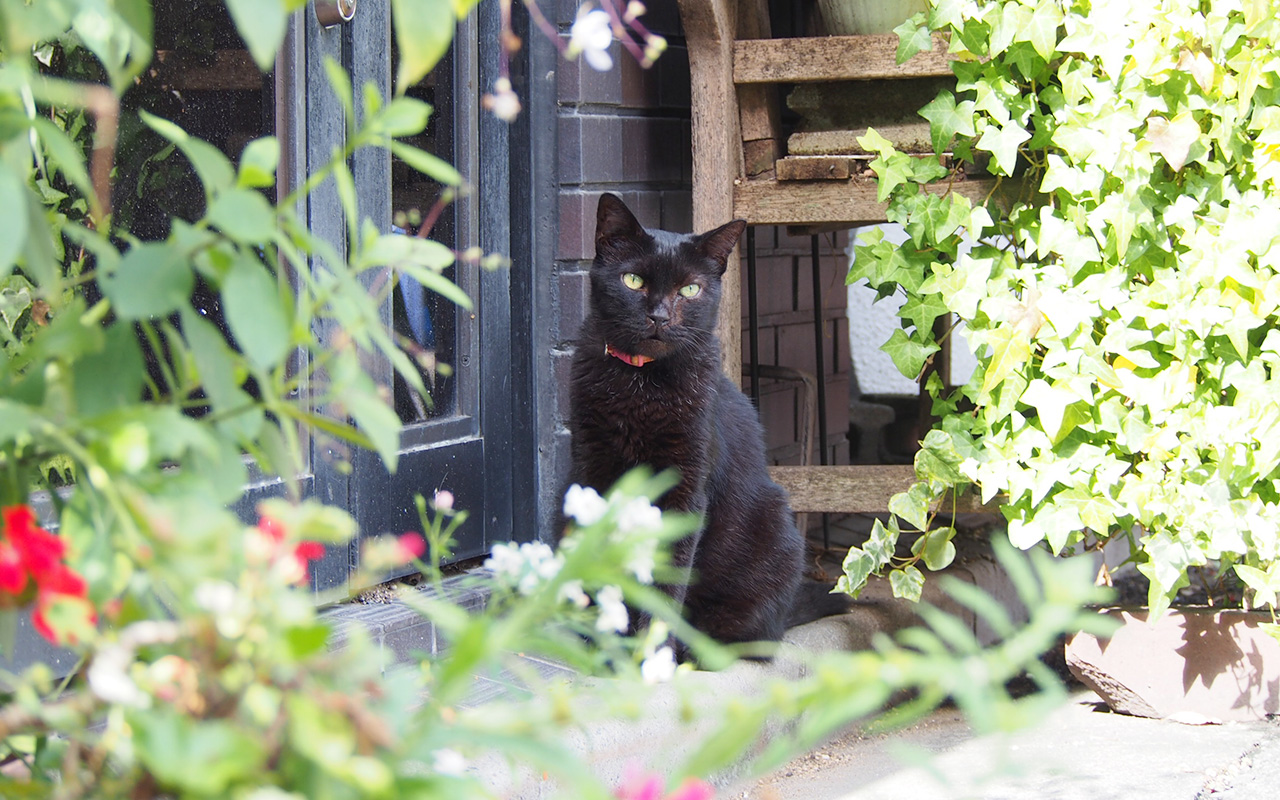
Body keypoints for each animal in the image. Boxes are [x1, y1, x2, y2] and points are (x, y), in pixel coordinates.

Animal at [568, 192, 839, 650]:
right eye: (633, 281)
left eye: (690, 289)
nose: (659, 316)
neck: (641, 386)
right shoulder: (593, 466)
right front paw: (601, 640)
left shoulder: (686, 485)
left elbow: (666, 576)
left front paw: (647, 651)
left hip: (774, 531)